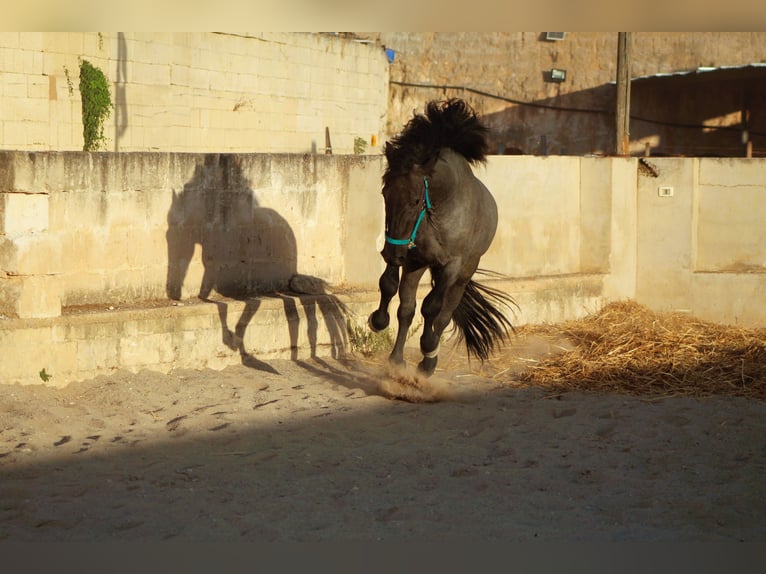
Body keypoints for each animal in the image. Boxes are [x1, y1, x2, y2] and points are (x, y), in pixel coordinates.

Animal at [368, 98, 517, 377]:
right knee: (407, 308)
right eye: (384, 194)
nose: (390, 252)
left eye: (416, 200)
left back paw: (428, 362)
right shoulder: (409, 255)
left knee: (443, 314)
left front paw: (427, 349)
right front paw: (378, 321)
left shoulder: (451, 265)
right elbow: (390, 286)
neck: (441, 208)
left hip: (462, 276)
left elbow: (432, 307)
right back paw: (397, 360)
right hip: (418, 265)